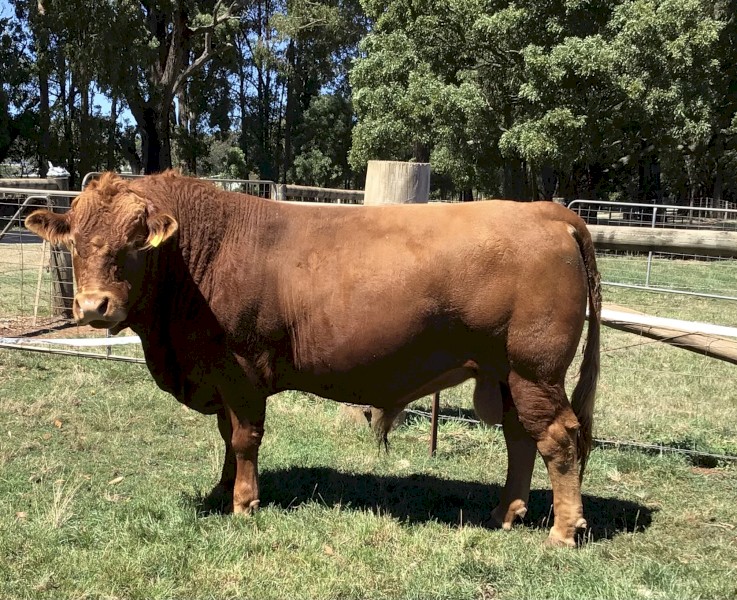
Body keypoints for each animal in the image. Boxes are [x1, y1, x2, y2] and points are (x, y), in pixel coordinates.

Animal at [25, 171, 601, 547]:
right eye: (76, 242)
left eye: (135, 242)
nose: (93, 306)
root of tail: (545, 210)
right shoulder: (218, 374)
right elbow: (226, 439)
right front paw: (221, 489)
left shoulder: (241, 369)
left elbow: (244, 438)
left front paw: (244, 502)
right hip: (507, 375)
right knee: (520, 437)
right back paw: (506, 511)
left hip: (534, 370)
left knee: (558, 438)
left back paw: (562, 530)